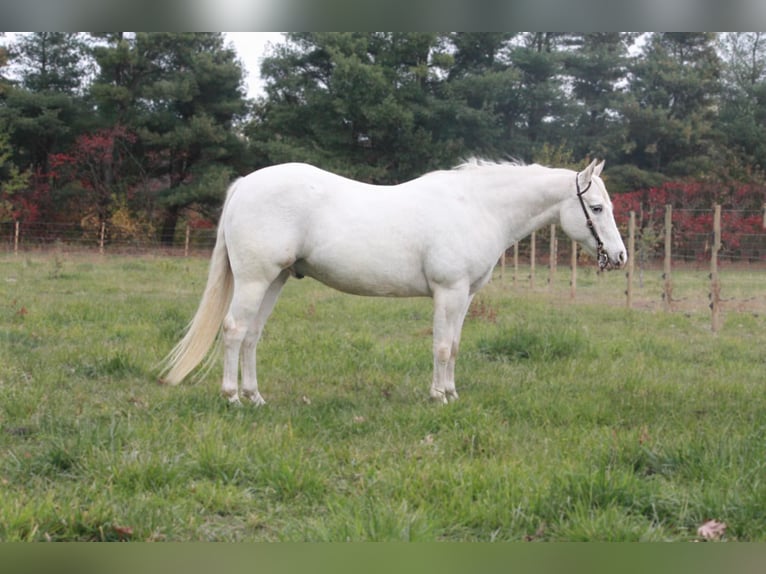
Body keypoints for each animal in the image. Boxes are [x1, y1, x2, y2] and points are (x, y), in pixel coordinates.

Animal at [160, 160, 624, 408]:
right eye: (597, 207)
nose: (619, 257)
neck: (477, 207)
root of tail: (245, 185)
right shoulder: (449, 291)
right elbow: (441, 346)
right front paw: (438, 397)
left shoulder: (465, 296)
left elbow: (454, 345)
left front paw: (451, 393)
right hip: (255, 279)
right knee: (234, 330)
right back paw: (232, 397)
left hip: (274, 280)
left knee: (253, 335)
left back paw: (255, 396)